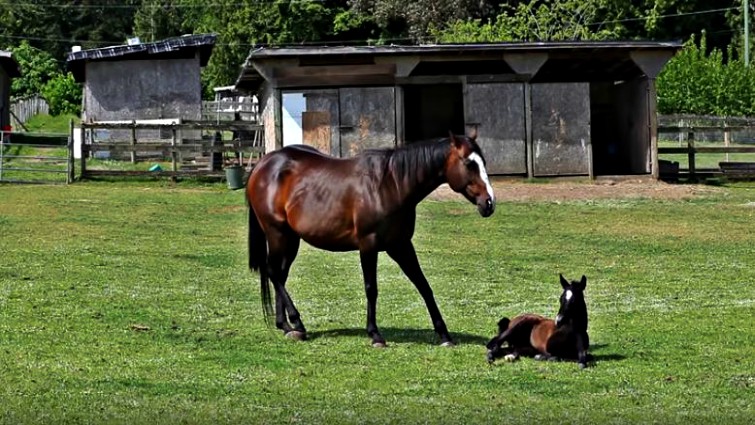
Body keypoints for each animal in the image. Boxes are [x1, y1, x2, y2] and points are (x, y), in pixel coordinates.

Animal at [245, 131, 496, 347]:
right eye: (469, 163)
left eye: (483, 161)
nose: (489, 203)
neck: (390, 185)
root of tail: (263, 163)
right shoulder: (368, 245)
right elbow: (371, 288)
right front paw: (375, 334)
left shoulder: (401, 245)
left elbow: (423, 285)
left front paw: (444, 334)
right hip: (277, 233)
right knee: (273, 271)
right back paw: (296, 321)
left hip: (290, 238)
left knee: (280, 274)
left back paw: (286, 326)